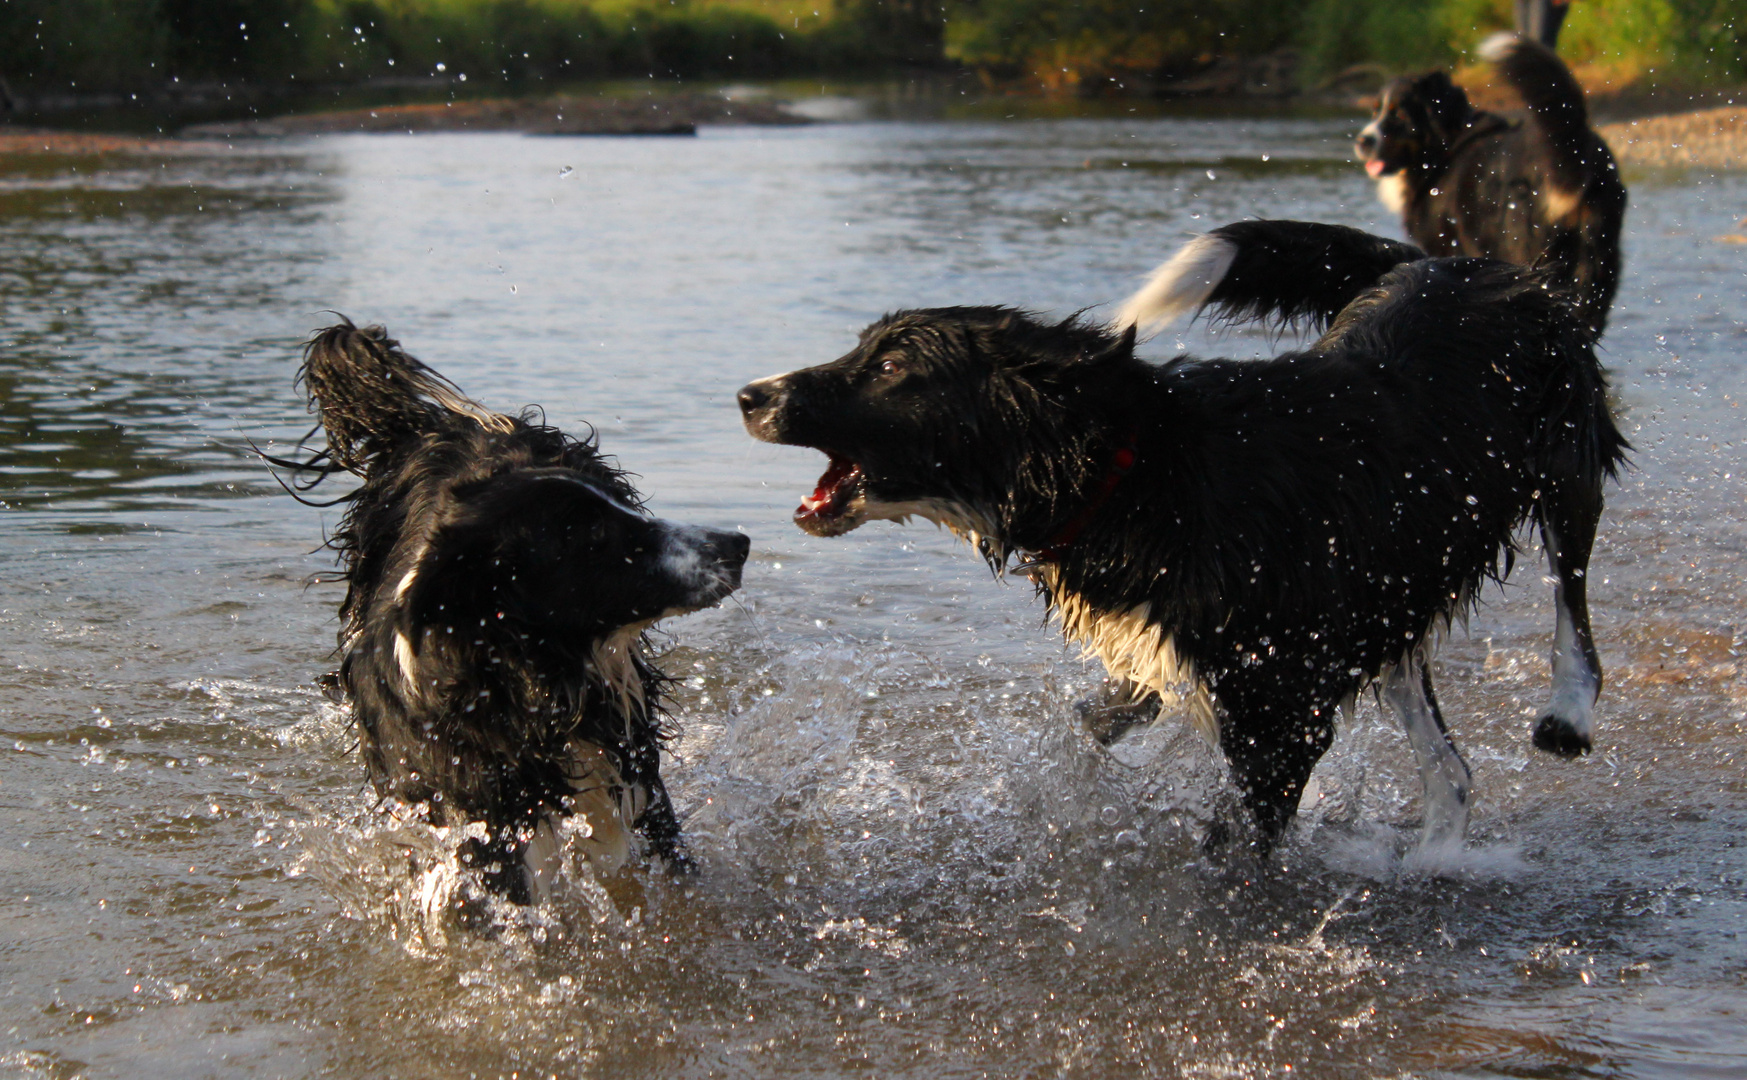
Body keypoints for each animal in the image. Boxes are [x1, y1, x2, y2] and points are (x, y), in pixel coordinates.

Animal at [269, 319, 747, 901]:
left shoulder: (629, 762)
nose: (739, 544)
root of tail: (436, 426)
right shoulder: (478, 817)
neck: (521, 682)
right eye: (593, 533)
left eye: (619, 508)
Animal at [737, 222, 1621, 849]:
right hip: (1393, 588)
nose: (749, 394)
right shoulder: (1168, 646)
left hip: (1563, 462)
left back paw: (1567, 713)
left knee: (1573, 611)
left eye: (893, 369)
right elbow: (1095, 720)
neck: (1134, 473)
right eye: (863, 349)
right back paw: (1437, 853)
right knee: (1451, 768)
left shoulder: (1277, 715)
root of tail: (1452, 264)